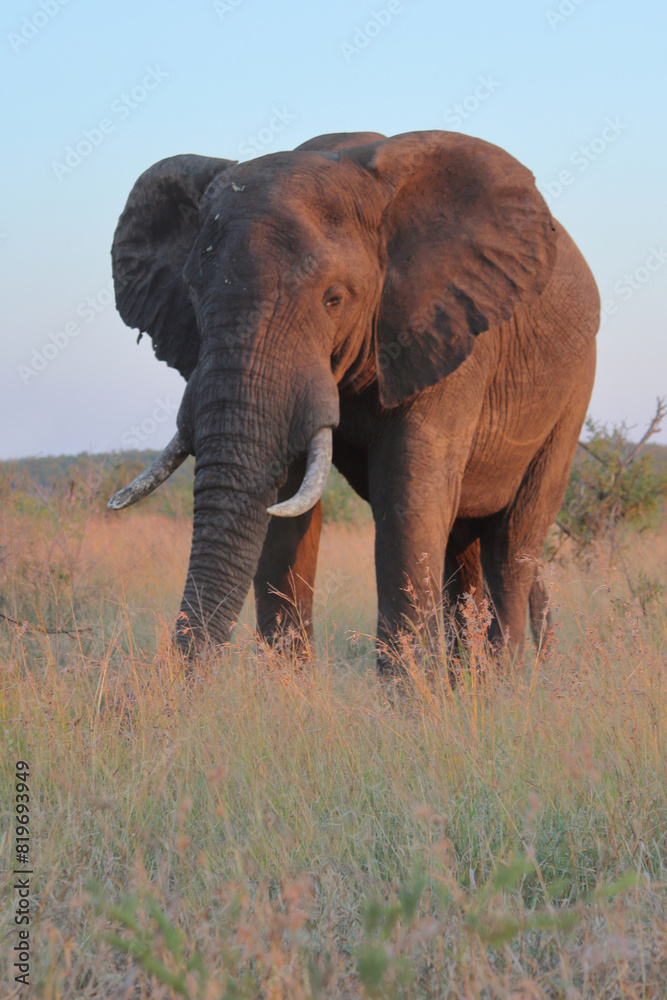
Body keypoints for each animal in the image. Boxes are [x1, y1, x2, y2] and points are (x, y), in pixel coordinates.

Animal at [108, 130, 599, 669]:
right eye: (193, 295)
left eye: (334, 299)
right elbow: (285, 513)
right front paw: (290, 687)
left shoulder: (449, 331)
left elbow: (408, 497)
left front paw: (412, 692)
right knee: (462, 548)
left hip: (573, 390)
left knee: (512, 545)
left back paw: (502, 681)